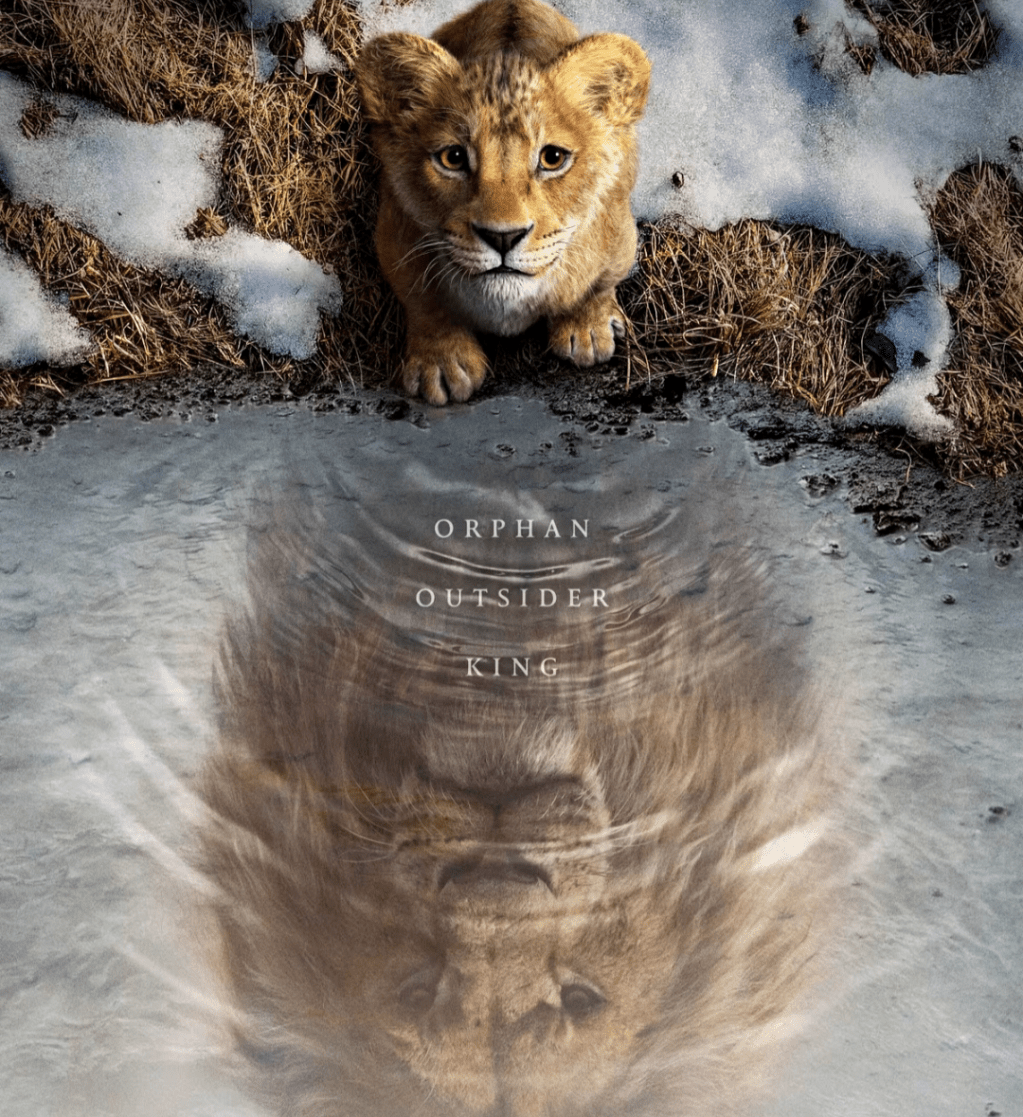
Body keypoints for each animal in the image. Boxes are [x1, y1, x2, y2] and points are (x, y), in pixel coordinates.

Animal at [355, 0, 651, 405]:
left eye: (553, 158)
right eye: (453, 158)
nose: (502, 237)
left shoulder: (619, 234)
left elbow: (598, 284)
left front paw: (587, 329)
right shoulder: (394, 235)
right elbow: (424, 302)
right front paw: (442, 363)